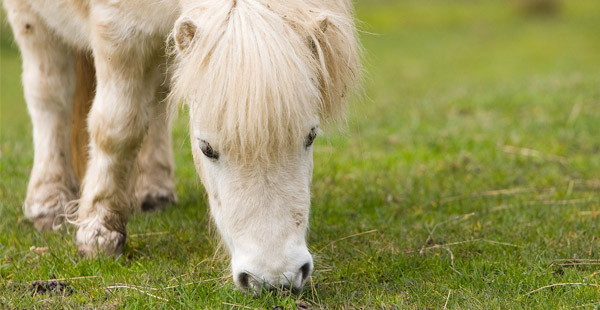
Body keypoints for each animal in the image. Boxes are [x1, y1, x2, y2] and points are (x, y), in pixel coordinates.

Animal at [3, 0, 360, 294]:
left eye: (311, 136)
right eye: (206, 148)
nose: (275, 279)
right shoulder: (117, 30)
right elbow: (117, 128)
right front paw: (99, 233)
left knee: (158, 95)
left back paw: (153, 190)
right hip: (31, 22)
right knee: (49, 95)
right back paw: (48, 201)